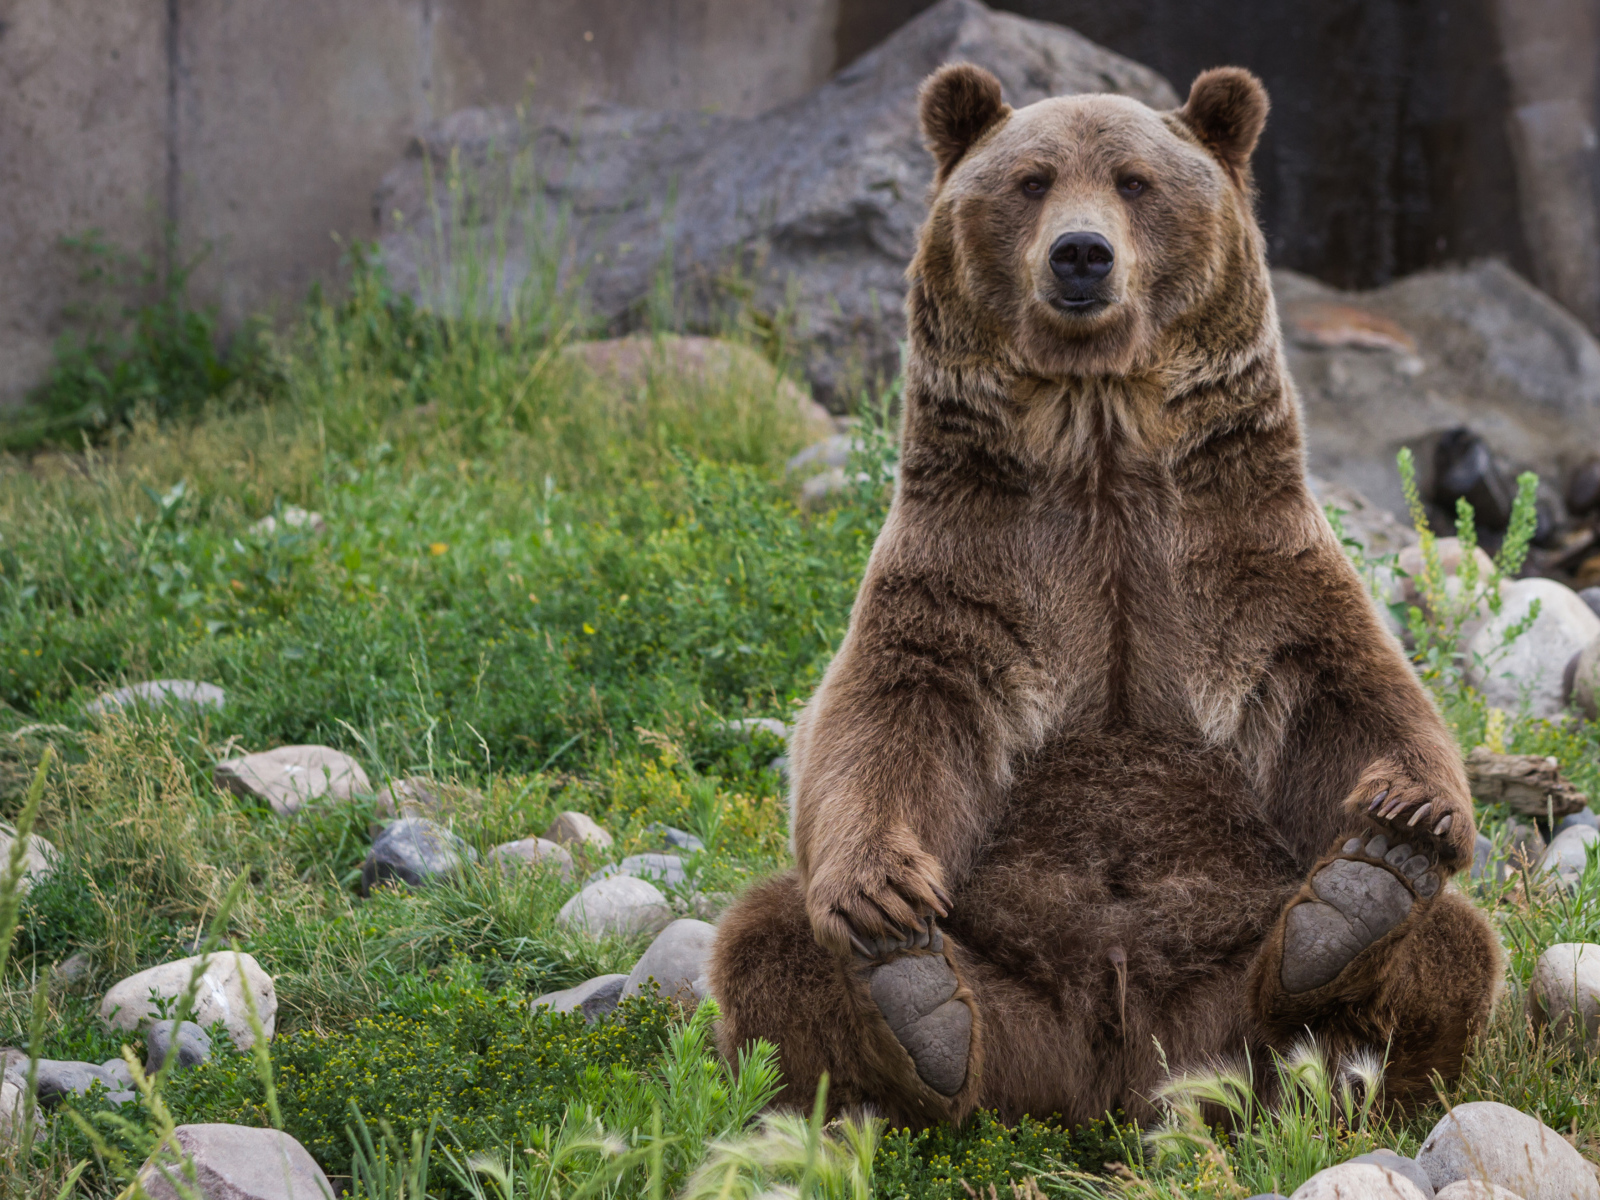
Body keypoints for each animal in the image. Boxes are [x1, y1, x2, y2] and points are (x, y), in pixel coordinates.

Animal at [707, 58, 1504, 1126]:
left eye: (1135, 180)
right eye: (1031, 180)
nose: (1080, 255)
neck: (1100, 442)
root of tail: (1117, 1071)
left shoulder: (1241, 557)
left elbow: (1347, 689)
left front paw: (1410, 816)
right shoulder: (975, 566)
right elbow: (887, 714)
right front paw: (877, 895)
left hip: (1226, 986)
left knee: (1451, 945)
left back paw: (1355, 910)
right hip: (1011, 989)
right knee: (766, 937)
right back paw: (917, 1011)